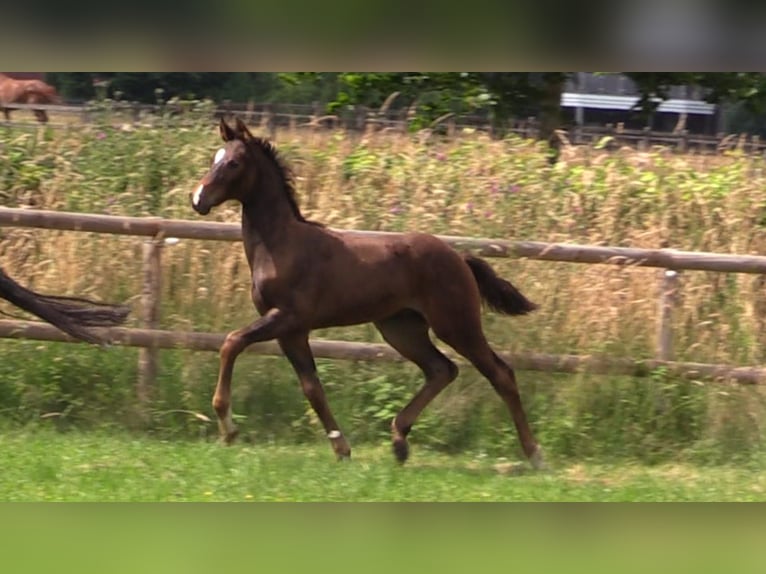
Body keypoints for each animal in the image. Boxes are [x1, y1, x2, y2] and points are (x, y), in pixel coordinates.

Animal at [190, 117, 545, 469]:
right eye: (213, 158)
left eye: (233, 163)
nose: (198, 199)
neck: (280, 245)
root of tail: (459, 257)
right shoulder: (292, 330)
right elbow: (312, 388)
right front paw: (342, 449)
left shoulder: (287, 317)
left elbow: (232, 342)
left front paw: (228, 426)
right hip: (401, 328)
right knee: (441, 369)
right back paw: (399, 442)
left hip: (457, 325)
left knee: (500, 373)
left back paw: (534, 455)